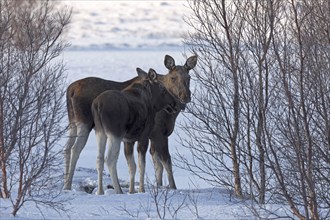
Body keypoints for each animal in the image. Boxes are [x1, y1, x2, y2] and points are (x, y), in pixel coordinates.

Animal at [63, 54, 197, 192]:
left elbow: (156, 164)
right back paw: (70, 185)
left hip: (73, 124)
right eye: (173, 78)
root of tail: (70, 90)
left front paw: (157, 186)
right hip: (85, 124)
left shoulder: (148, 136)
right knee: (76, 149)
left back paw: (66, 184)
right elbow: (166, 161)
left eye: (189, 77)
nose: (185, 96)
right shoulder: (158, 134)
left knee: (67, 149)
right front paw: (172, 187)